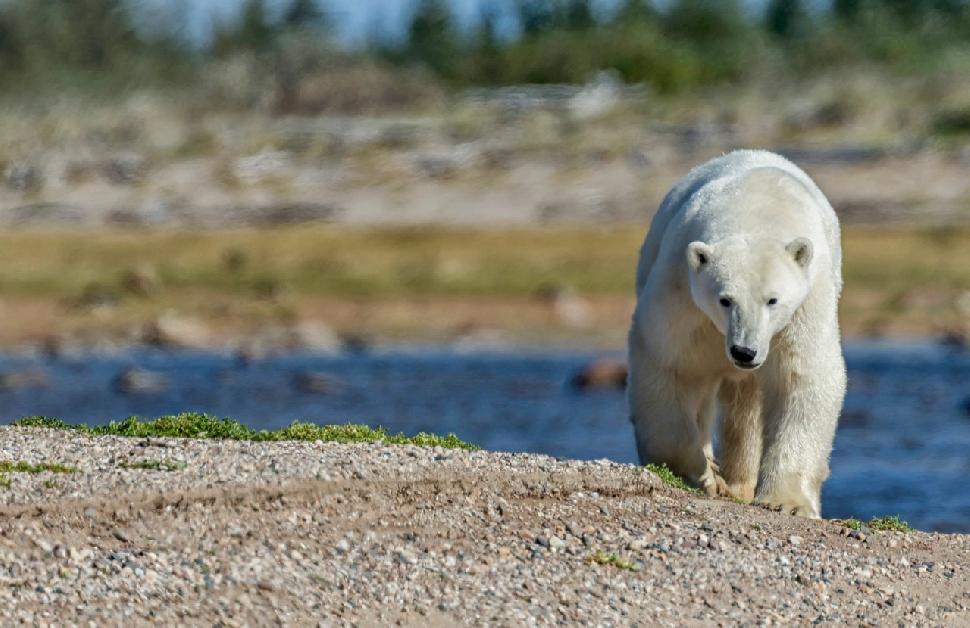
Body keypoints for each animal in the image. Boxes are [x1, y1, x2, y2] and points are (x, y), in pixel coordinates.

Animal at [632, 150, 844, 516]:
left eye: (773, 299)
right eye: (725, 300)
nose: (745, 352)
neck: (756, 209)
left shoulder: (806, 301)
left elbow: (802, 376)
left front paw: (788, 501)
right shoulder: (683, 292)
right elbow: (669, 362)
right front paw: (701, 475)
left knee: (746, 407)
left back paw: (739, 483)